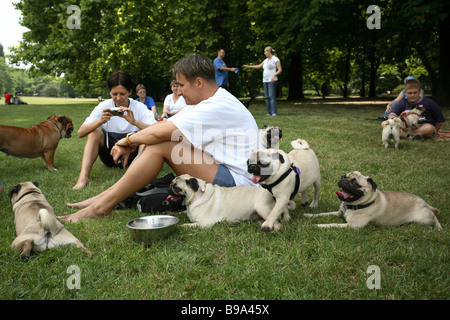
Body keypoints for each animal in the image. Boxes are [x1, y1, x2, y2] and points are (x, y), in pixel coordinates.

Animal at [304, 171, 442, 229]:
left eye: (354, 183)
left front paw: (317, 225)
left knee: (434, 219)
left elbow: (332, 224)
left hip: (424, 220)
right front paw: (309, 215)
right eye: (343, 176)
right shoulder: (338, 213)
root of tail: (424, 202)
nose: (344, 180)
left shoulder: (352, 225)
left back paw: (439, 228)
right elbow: (322, 214)